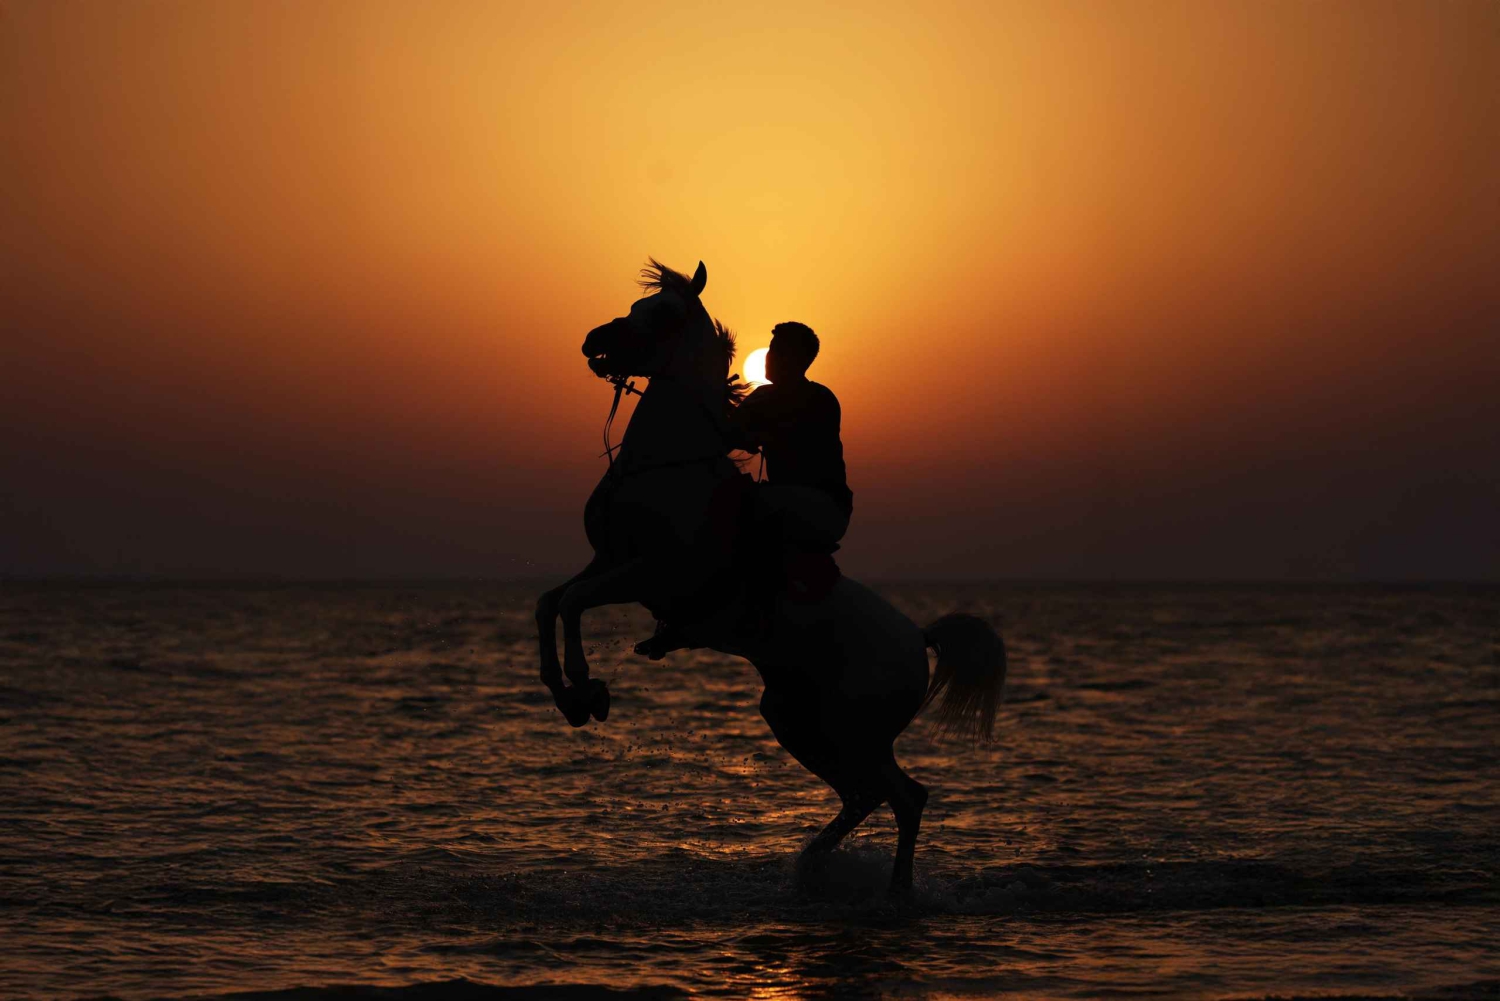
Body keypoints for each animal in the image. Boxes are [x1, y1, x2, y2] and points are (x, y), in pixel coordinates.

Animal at [535, 259, 1007, 895]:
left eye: (663, 314)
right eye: (635, 308)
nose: (593, 342)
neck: (668, 464)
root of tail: (920, 639)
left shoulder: (650, 573)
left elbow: (573, 604)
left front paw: (588, 690)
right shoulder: (609, 562)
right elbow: (550, 603)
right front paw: (566, 695)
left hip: (854, 731)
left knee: (906, 797)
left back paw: (895, 892)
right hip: (797, 719)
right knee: (867, 797)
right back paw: (811, 869)